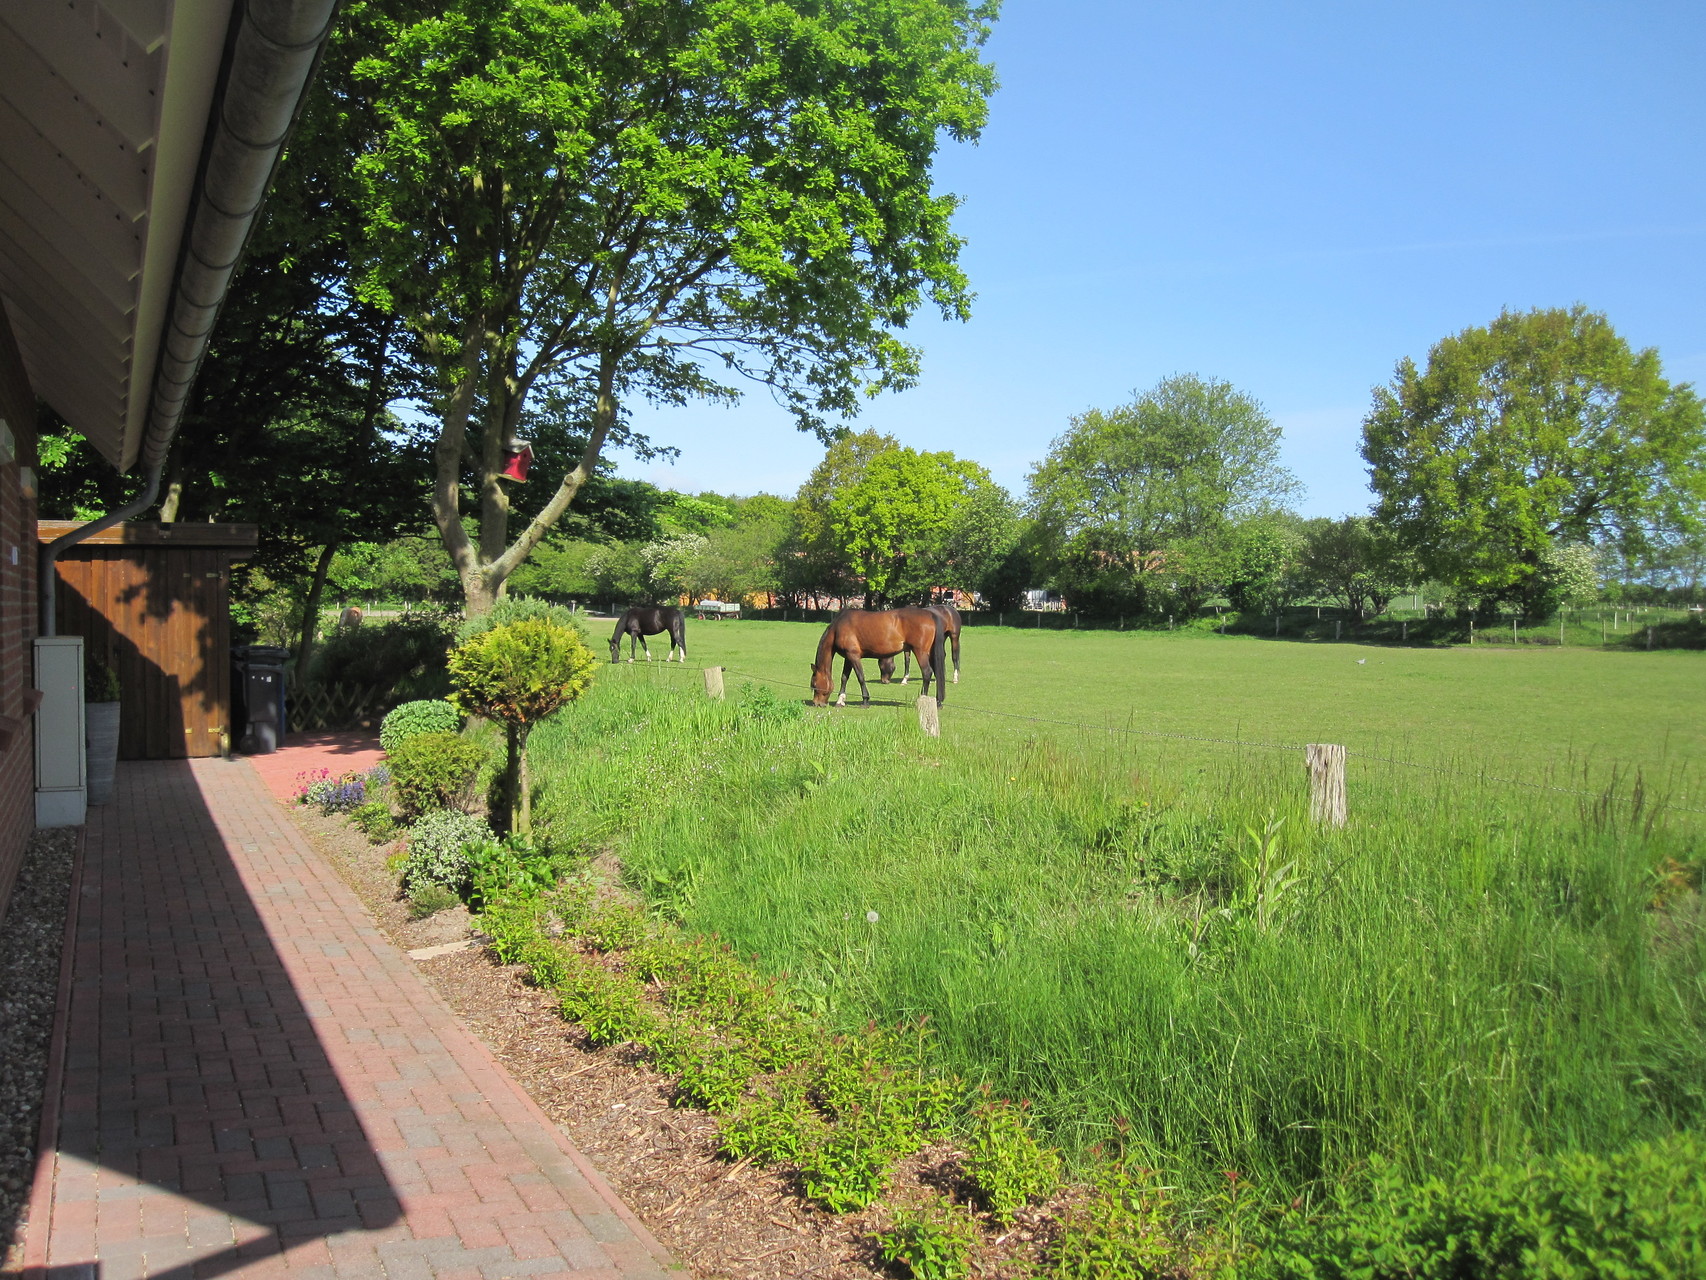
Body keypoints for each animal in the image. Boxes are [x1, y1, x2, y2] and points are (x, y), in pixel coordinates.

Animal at [812, 610, 948, 713]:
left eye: (814, 684)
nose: (816, 703)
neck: (838, 628)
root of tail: (930, 614)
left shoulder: (853, 656)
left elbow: (860, 677)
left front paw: (865, 701)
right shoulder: (848, 657)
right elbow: (844, 678)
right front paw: (840, 701)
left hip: (920, 652)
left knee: (927, 673)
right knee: (937, 674)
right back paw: (938, 702)